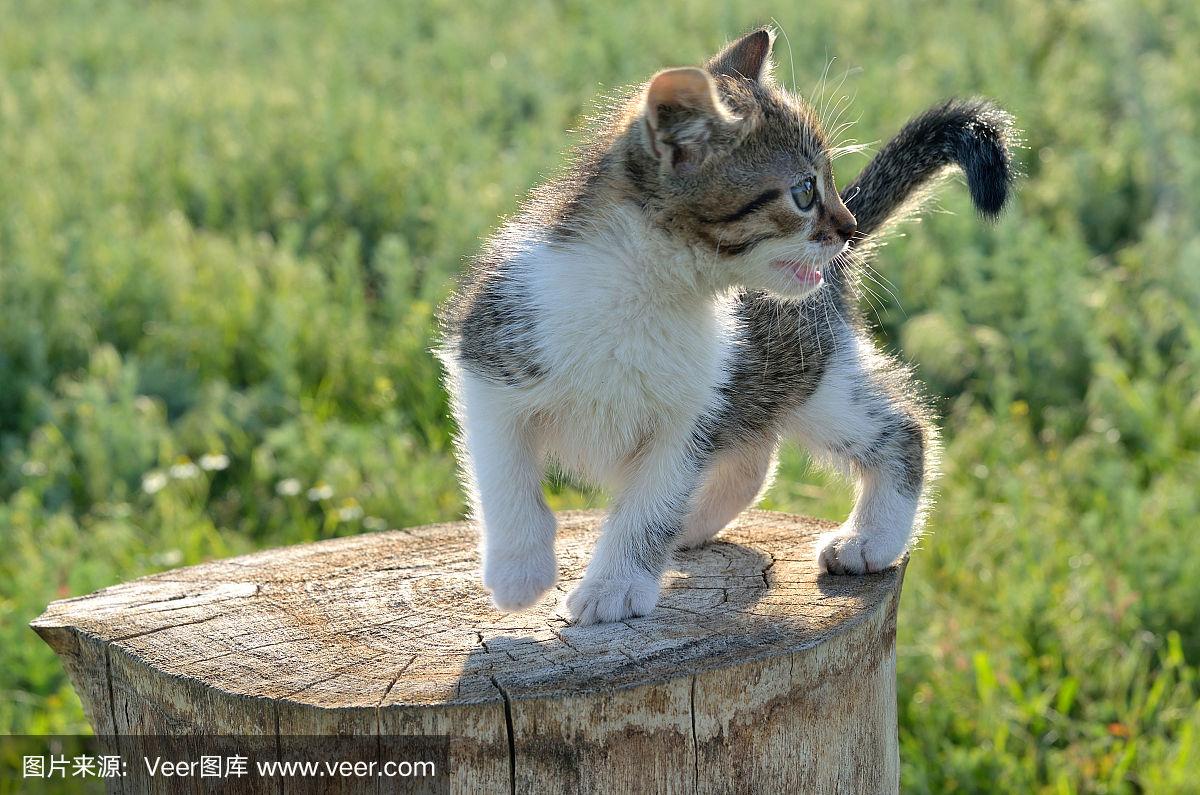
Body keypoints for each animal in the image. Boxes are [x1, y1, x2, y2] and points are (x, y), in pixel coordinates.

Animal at [441, 28, 1012, 624]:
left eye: (830, 182)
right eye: (804, 192)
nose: (848, 225)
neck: (648, 294)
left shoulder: (691, 416)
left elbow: (651, 507)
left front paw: (615, 586)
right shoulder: (489, 357)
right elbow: (504, 477)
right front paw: (519, 571)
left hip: (812, 375)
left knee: (901, 429)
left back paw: (869, 539)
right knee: (755, 457)